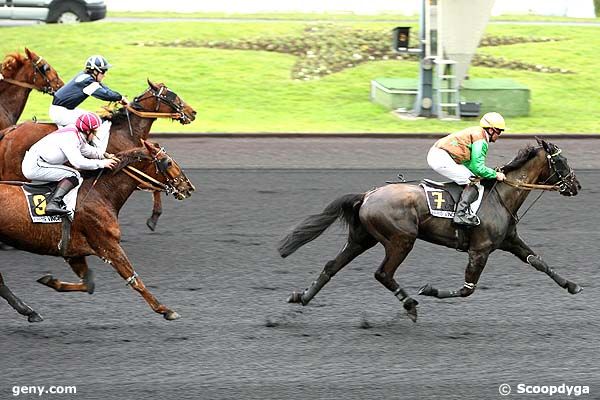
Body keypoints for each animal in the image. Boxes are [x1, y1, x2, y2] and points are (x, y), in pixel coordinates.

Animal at [0, 79, 196, 230]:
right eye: (171, 96)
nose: (192, 112)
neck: (126, 131)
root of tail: (11, 130)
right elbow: (154, 185)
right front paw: (153, 218)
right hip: (14, 173)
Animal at [0, 141, 195, 322]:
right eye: (168, 162)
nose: (189, 187)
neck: (99, 194)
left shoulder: (73, 252)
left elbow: (88, 284)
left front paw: (51, 281)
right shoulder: (108, 245)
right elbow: (134, 279)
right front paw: (165, 310)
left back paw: (30, 311)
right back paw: (28, 310)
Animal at [278, 138, 584, 322]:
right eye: (562, 161)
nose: (576, 186)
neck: (501, 196)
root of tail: (367, 195)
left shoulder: (509, 241)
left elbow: (539, 262)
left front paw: (572, 285)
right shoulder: (480, 249)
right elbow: (467, 289)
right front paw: (429, 289)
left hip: (362, 239)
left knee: (332, 265)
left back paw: (302, 297)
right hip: (402, 239)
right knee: (383, 273)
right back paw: (410, 304)